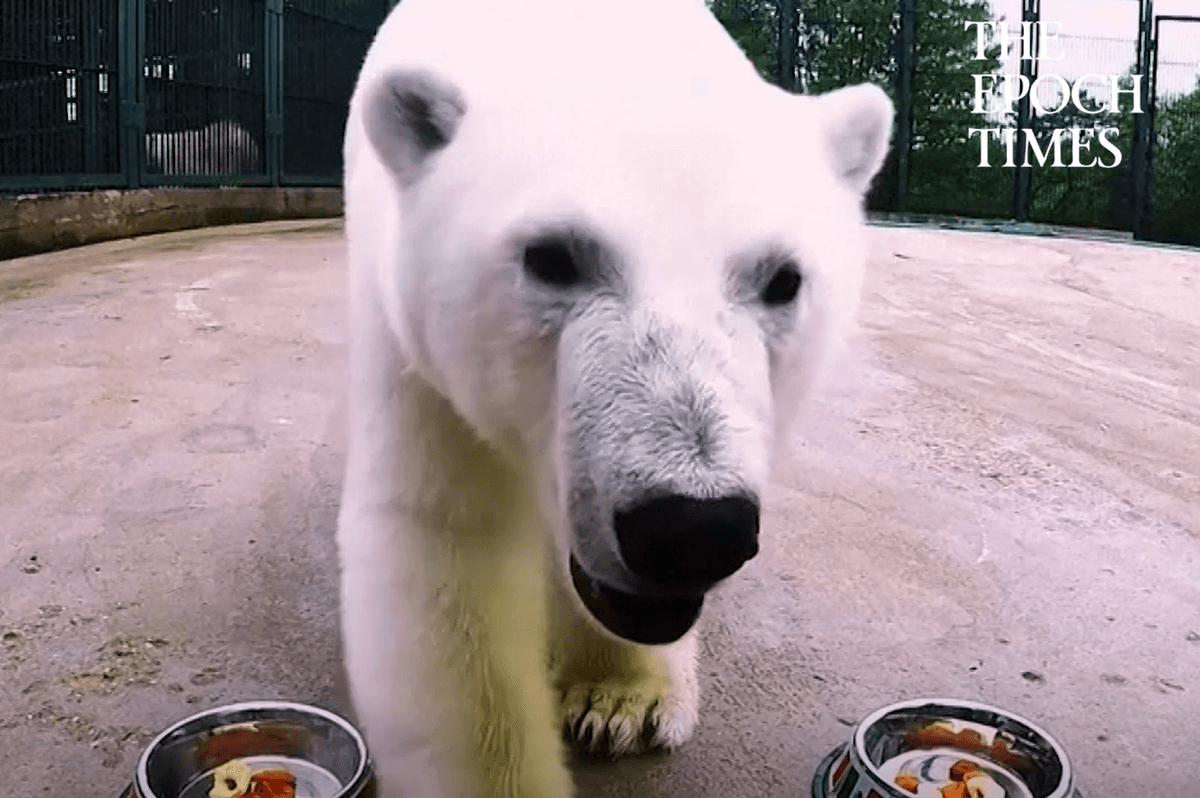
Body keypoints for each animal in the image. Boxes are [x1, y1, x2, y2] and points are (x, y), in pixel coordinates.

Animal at [336, 0, 893, 796]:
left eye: (783, 279)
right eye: (551, 257)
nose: (692, 529)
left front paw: (622, 698)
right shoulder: (417, 355)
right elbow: (446, 548)